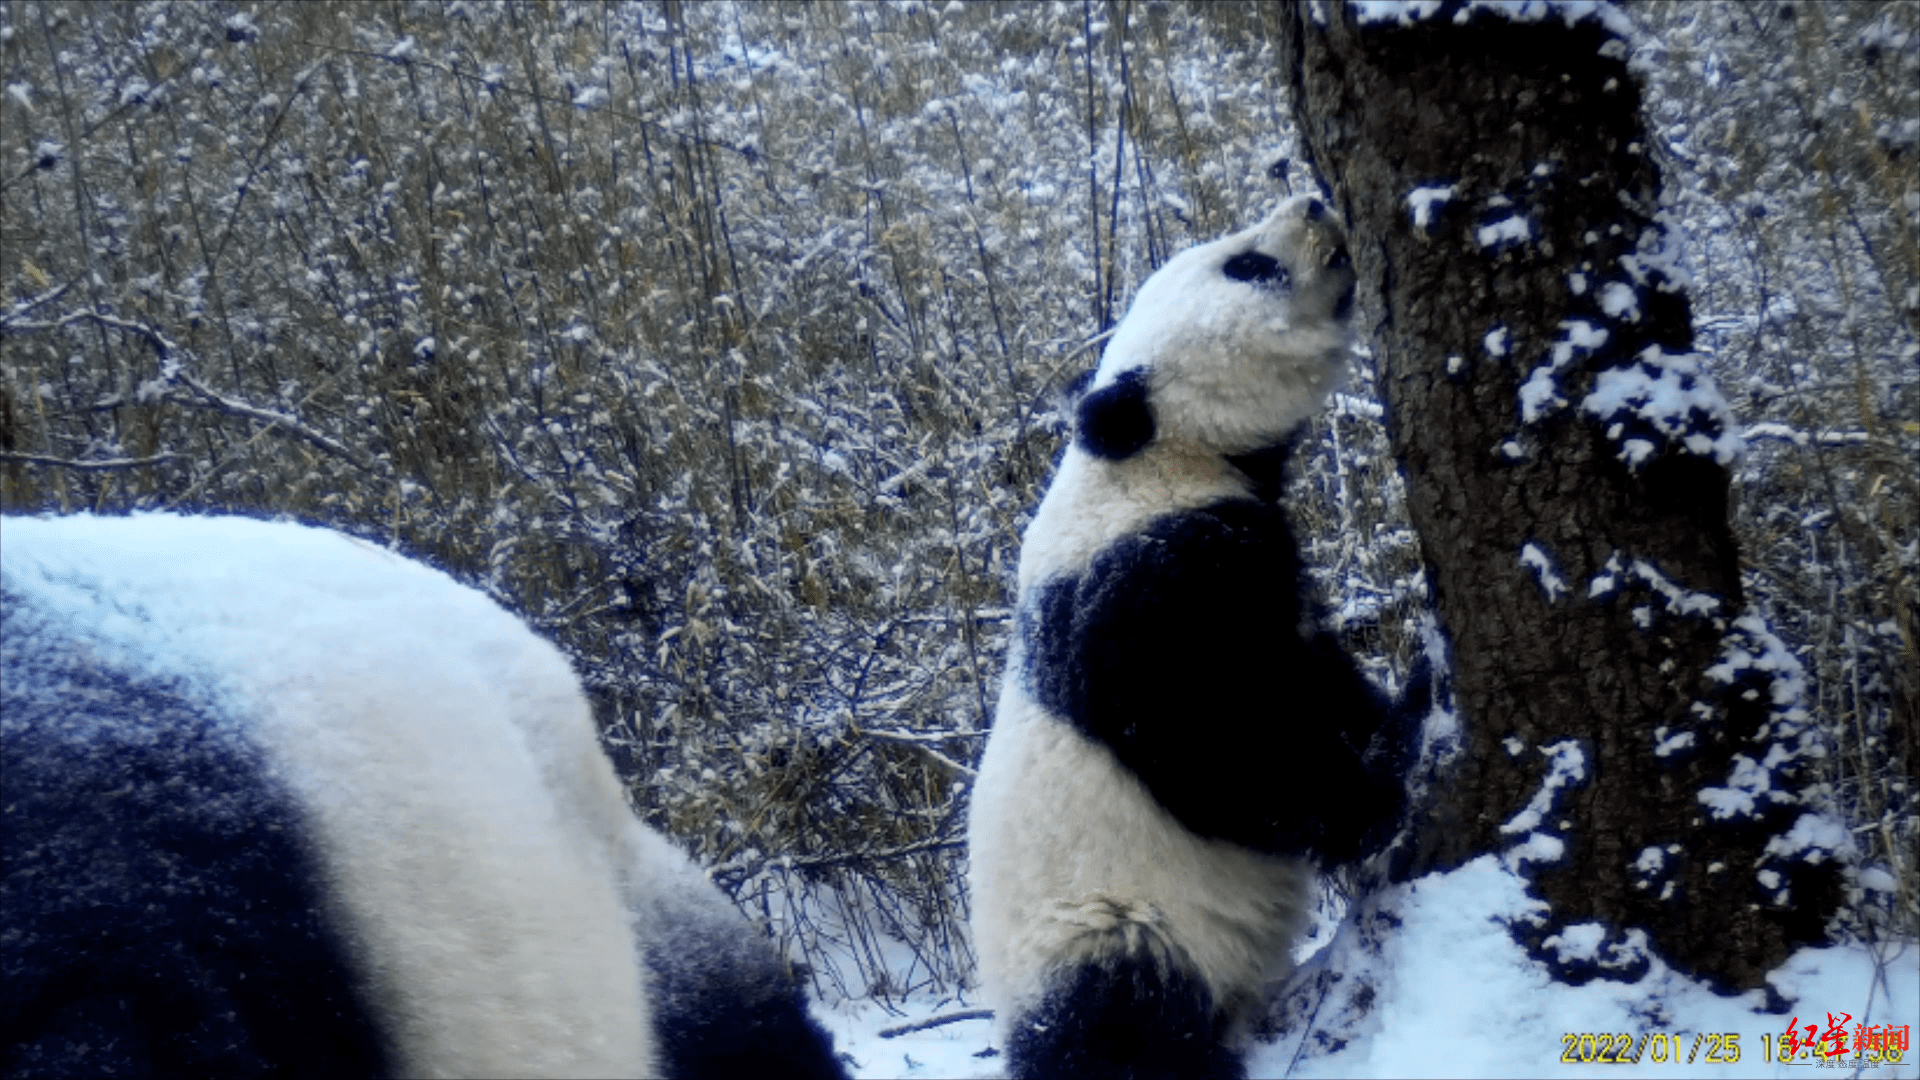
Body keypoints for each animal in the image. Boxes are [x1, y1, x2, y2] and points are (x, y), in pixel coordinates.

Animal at [975, 195, 1428, 1076]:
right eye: (1245, 266)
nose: (1312, 201)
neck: (1160, 456)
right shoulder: (1141, 588)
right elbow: (1217, 743)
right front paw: (1381, 797)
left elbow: (1313, 672)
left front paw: (1402, 704)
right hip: (1106, 918)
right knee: (1121, 1010)